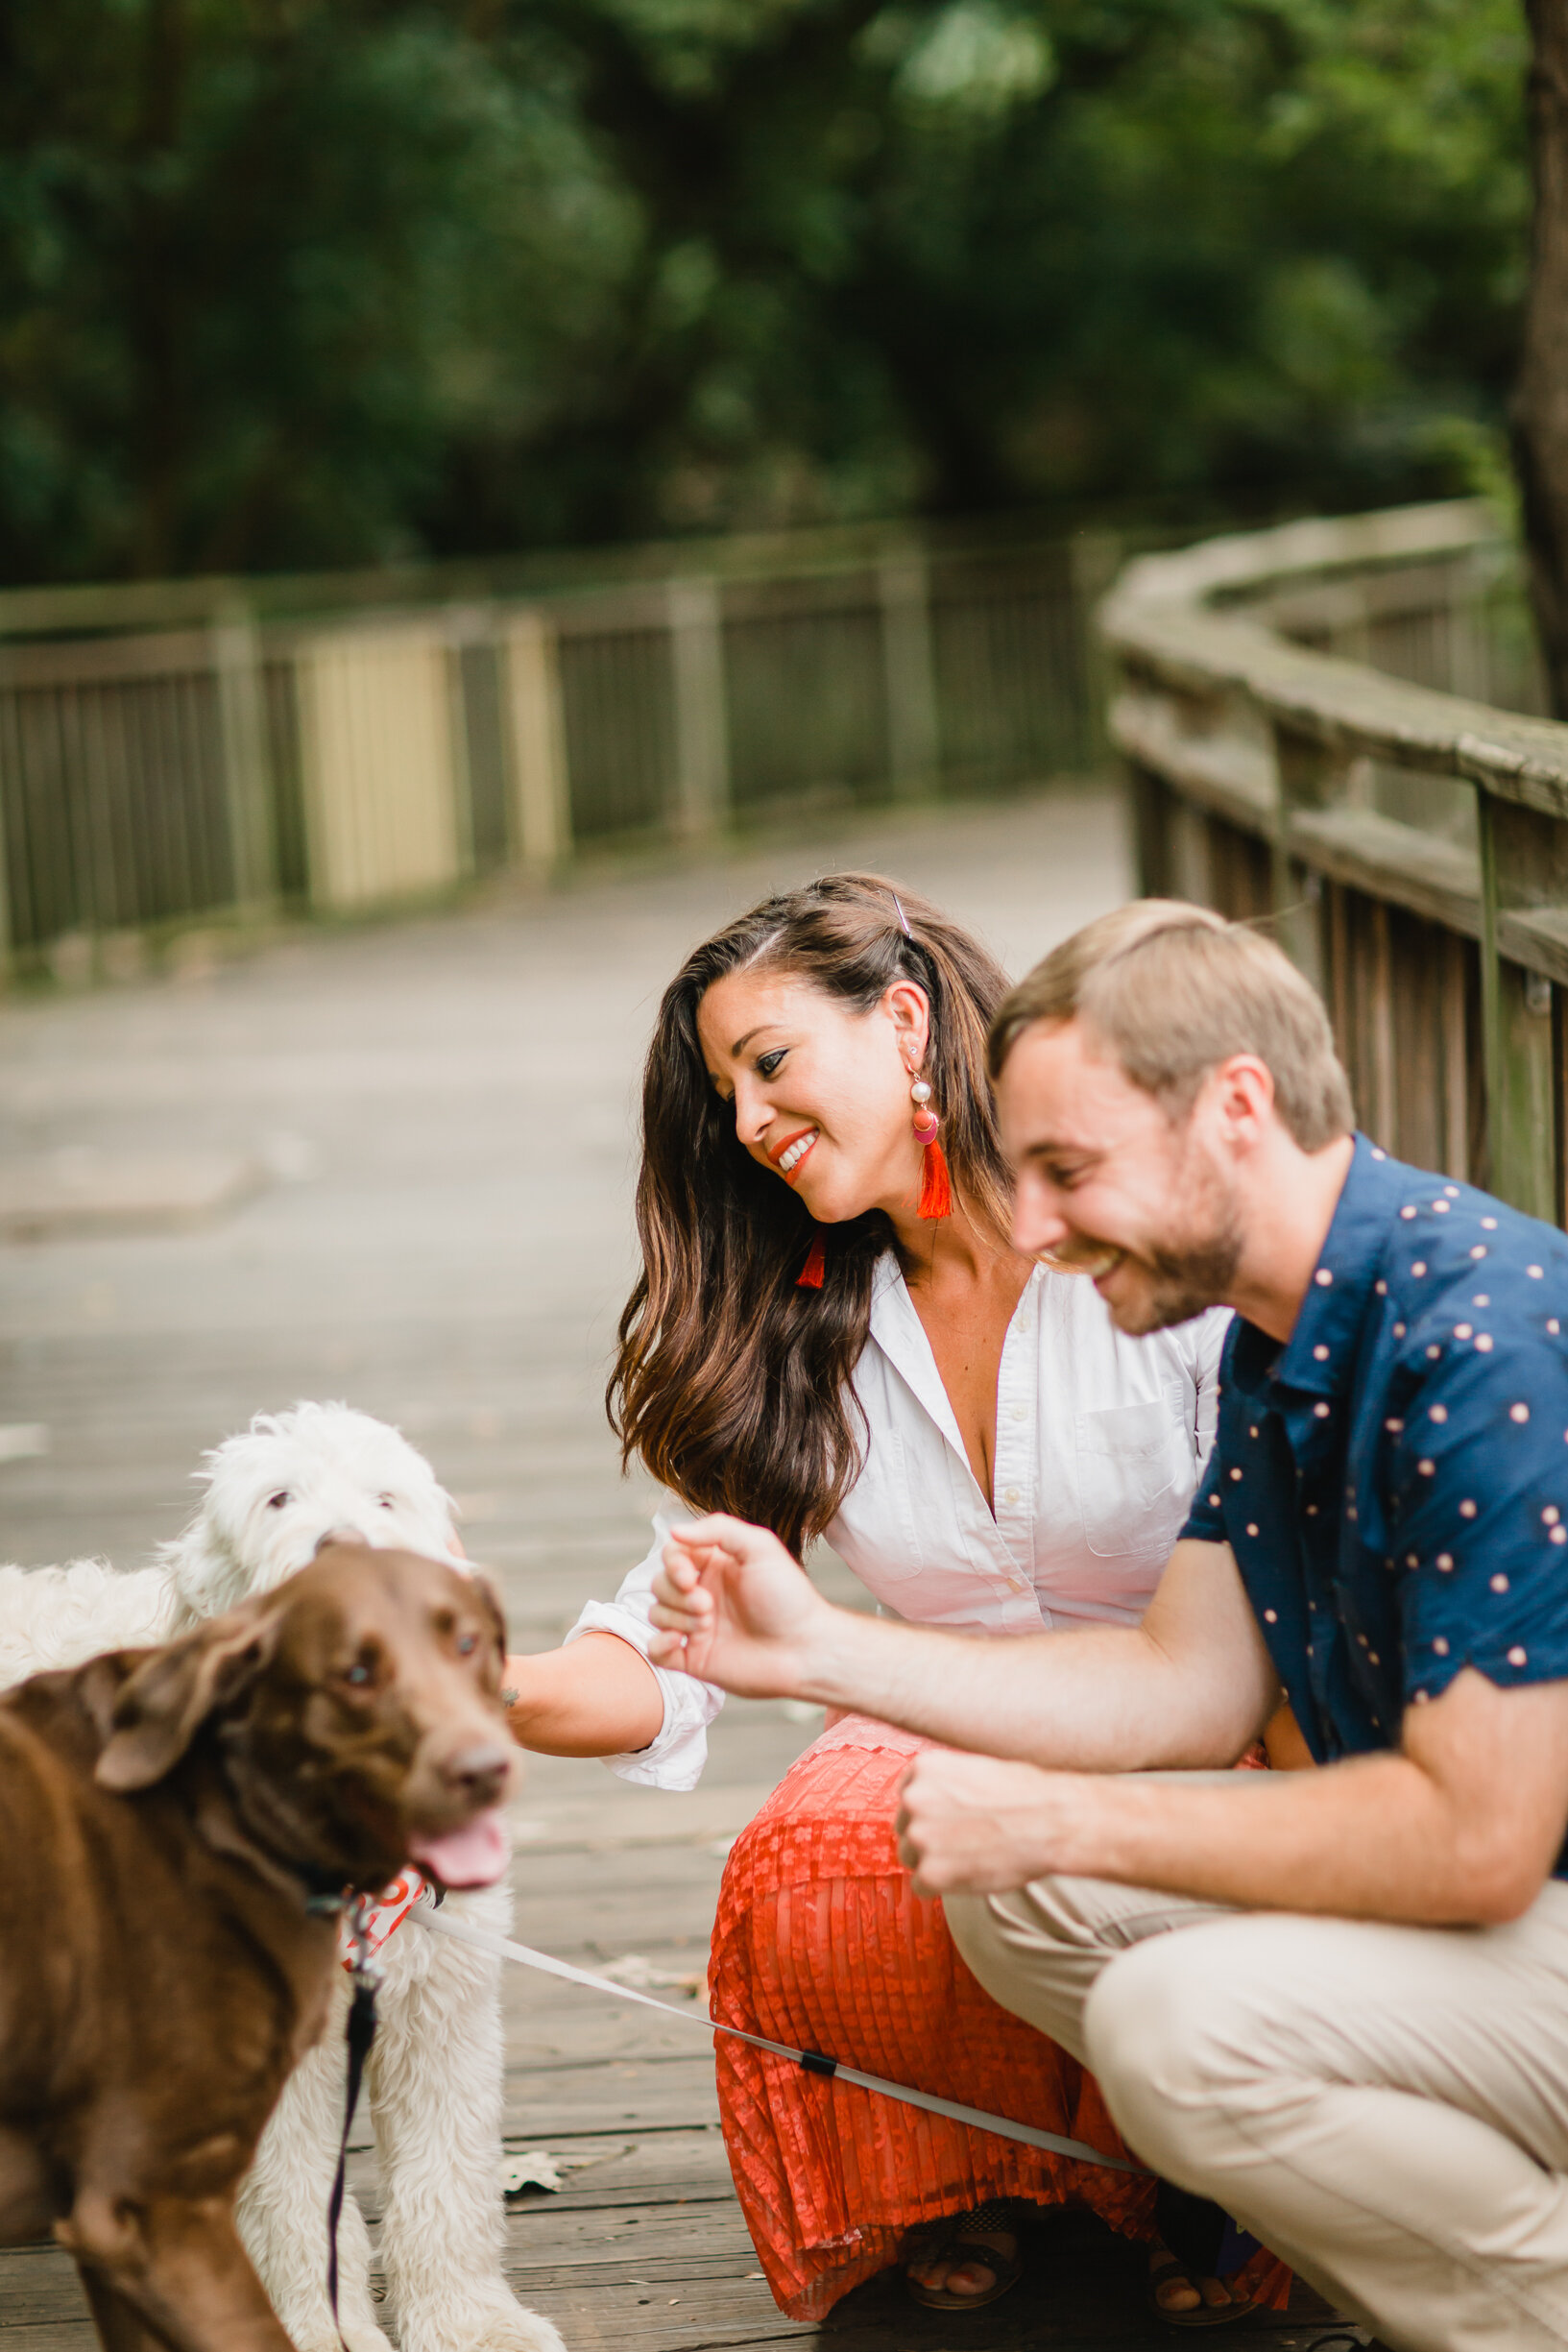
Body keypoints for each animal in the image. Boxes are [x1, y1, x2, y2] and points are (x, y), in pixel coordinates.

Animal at [0, 1401, 562, 2352]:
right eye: (277, 1499)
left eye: (386, 1499)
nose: (344, 1550)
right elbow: (295, 2206)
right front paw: (320, 2328)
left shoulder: (441, 2014)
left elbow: (446, 2183)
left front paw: (469, 2321)